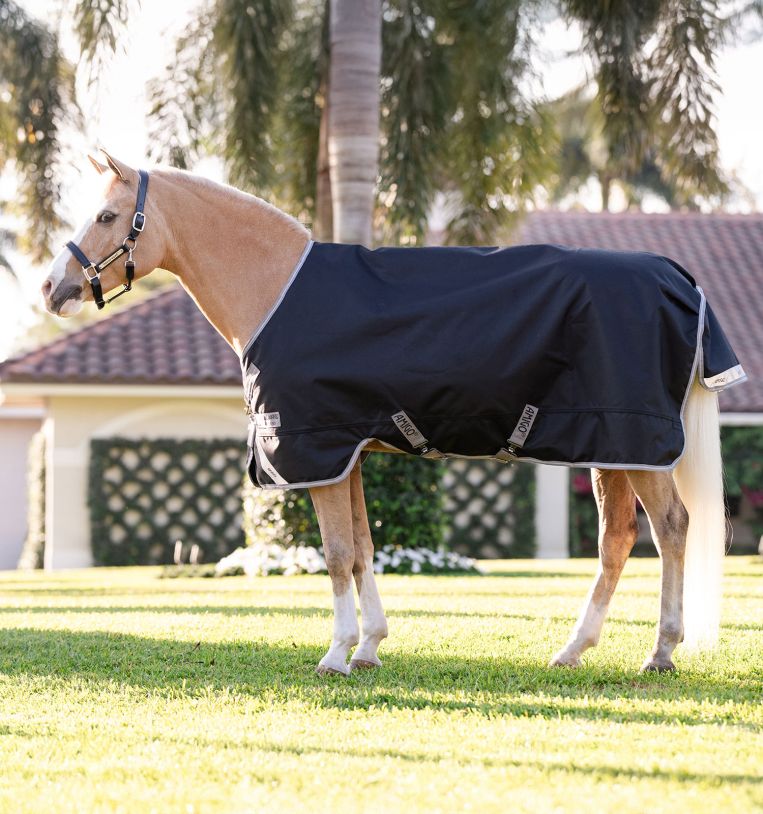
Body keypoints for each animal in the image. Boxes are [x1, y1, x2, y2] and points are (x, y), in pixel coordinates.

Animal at [42, 151, 734, 675]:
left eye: (106, 215)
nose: (52, 289)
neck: (276, 288)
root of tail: (677, 277)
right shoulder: (346, 454)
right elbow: (363, 548)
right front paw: (370, 647)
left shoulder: (318, 451)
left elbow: (335, 553)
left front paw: (336, 654)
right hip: (609, 445)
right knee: (616, 540)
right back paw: (572, 651)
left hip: (637, 445)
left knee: (671, 528)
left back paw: (661, 653)